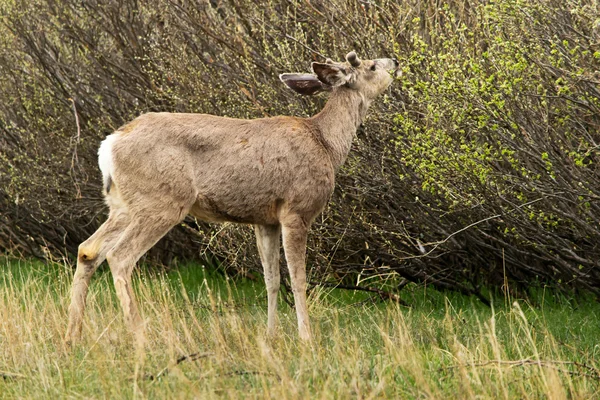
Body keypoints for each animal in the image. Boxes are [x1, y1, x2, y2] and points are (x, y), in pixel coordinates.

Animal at [65, 50, 400, 344]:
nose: (395, 61)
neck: (327, 145)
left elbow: (271, 279)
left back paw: (73, 336)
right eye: (371, 66)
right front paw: (306, 338)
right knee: (119, 257)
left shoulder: (265, 219)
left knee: (88, 249)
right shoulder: (296, 209)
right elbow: (298, 279)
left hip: (122, 205)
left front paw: (271, 335)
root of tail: (109, 145)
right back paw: (139, 336)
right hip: (162, 201)